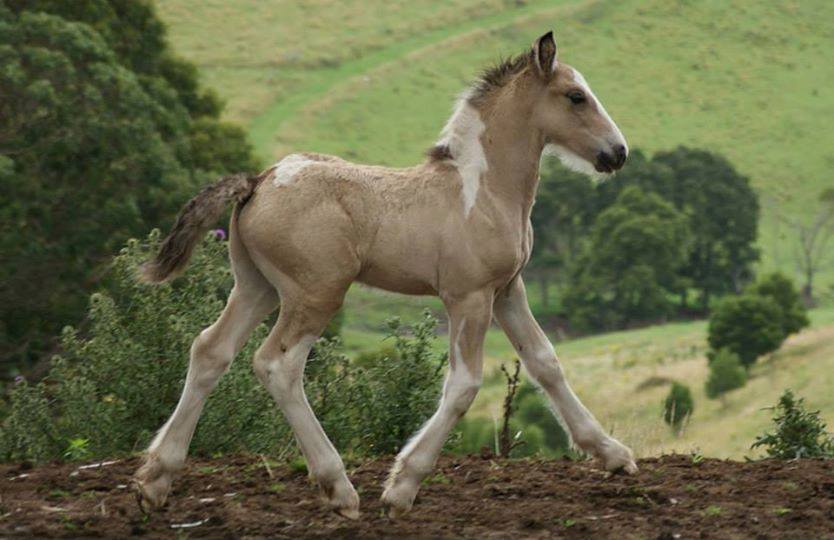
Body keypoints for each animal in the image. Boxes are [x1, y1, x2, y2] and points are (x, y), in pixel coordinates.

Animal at [133, 30, 632, 520]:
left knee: (210, 350)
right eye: (575, 96)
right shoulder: (468, 296)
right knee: (278, 365)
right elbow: (464, 385)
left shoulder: (508, 289)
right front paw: (402, 486)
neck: (481, 190)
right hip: (316, 293)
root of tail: (258, 181)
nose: (618, 152)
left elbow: (545, 362)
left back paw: (154, 479)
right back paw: (338, 487)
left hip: (256, 287)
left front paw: (613, 454)